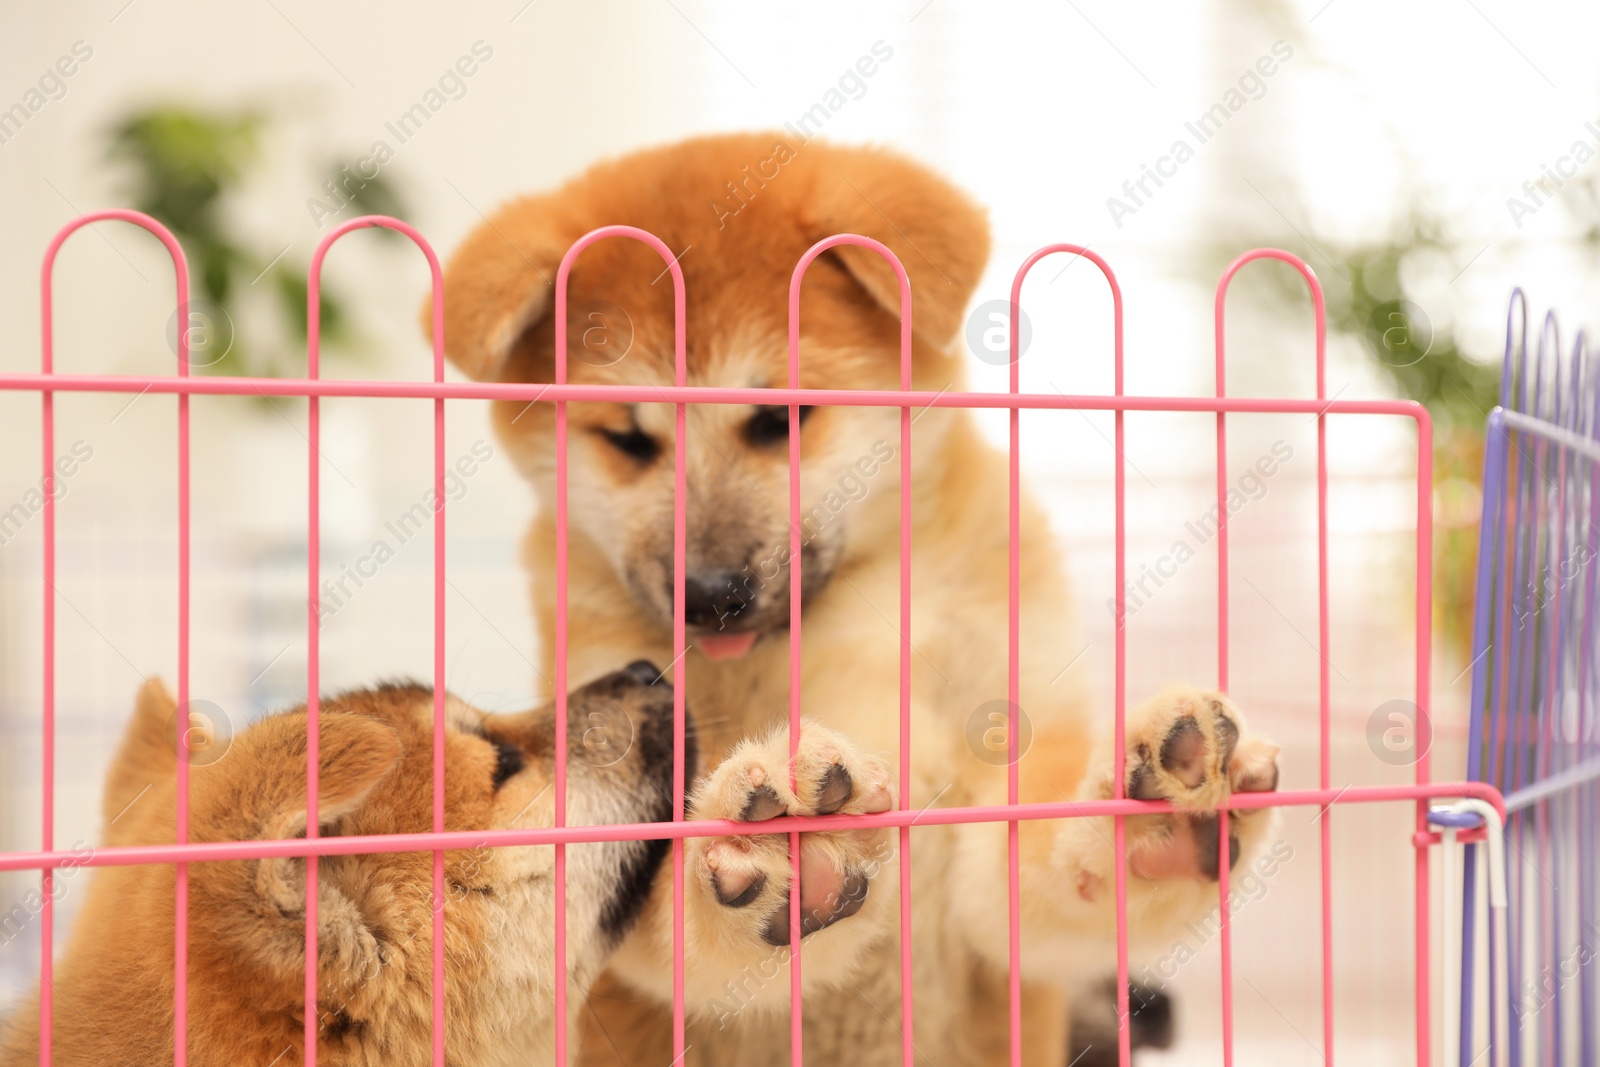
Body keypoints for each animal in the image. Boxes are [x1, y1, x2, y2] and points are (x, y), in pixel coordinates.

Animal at [432, 137, 1280, 1062]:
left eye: (779, 420)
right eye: (626, 439)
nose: (709, 595)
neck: (845, 622)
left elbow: (1041, 856)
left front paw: (1152, 821)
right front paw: (781, 856)